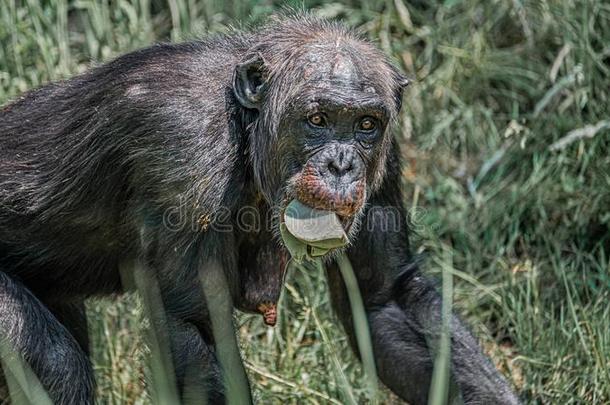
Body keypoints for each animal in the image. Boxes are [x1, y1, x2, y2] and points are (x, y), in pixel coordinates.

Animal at [1, 13, 516, 404]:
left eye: (366, 124)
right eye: (318, 119)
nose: (341, 164)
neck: (245, 125)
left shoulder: (385, 159)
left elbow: (382, 297)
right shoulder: (180, 144)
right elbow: (196, 331)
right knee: (60, 368)